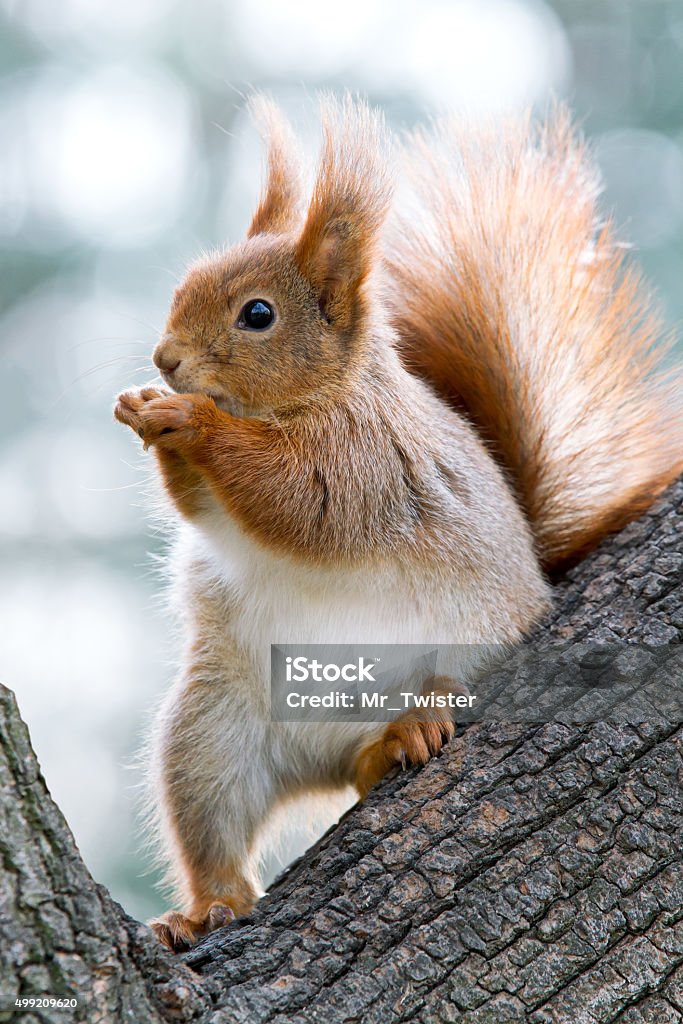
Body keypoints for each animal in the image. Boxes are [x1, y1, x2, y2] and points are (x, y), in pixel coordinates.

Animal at [113, 97, 683, 950]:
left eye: (257, 315)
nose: (165, 359)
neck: (317, 397)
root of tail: (319, 750)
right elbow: (204, 506)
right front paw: (148, 412)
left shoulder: (367, 463)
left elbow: (294, 501)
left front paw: (192, 422)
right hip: (212, 735)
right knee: (219, 824)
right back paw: (206, 908)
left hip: (460, 652)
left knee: (387, 737)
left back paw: (407, 732)